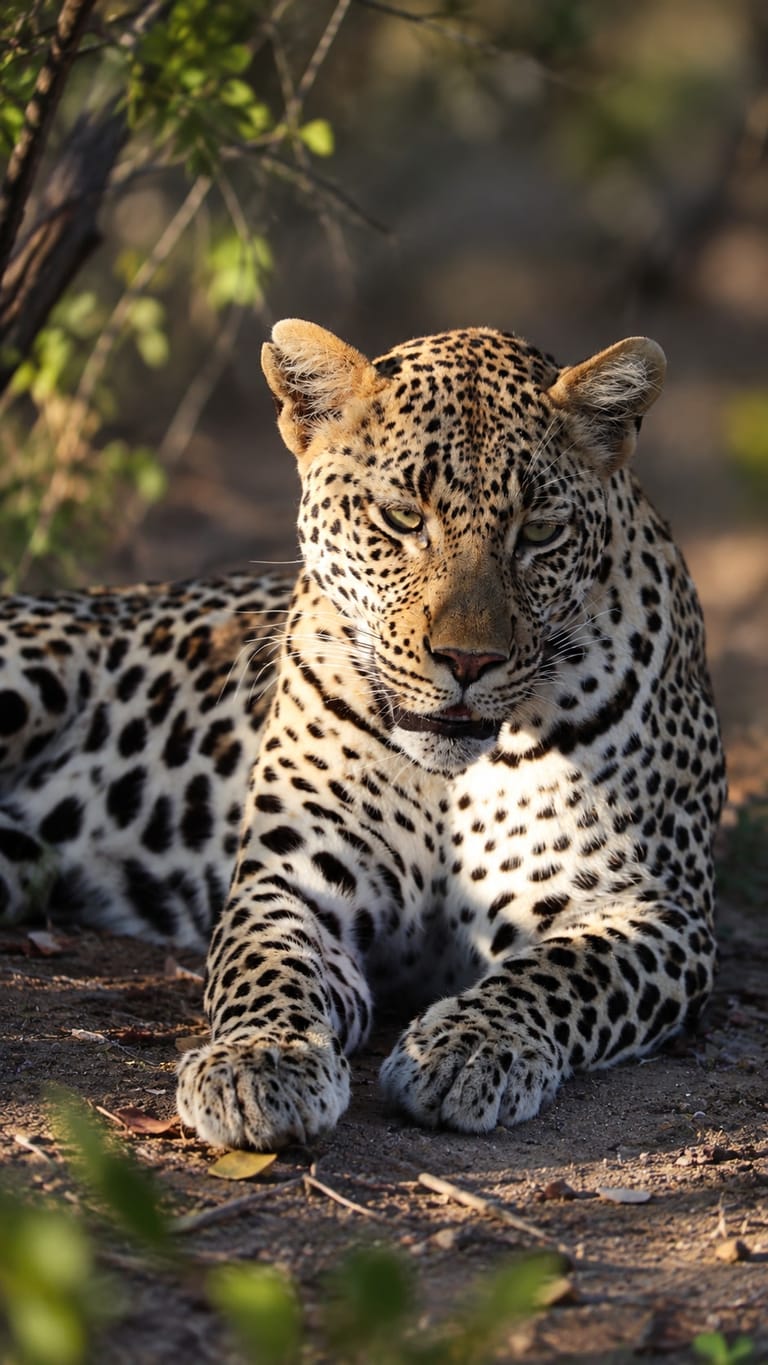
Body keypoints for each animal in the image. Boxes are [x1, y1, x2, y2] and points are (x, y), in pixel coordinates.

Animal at [0, 319, 726, 1150]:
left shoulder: (654, 909)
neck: (450, 777)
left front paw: (470, 1046)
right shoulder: (293, 878)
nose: (467, 660)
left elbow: (565, 971)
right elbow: (269, 963)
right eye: (402, 518)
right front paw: (260, 1061)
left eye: (539, 532)